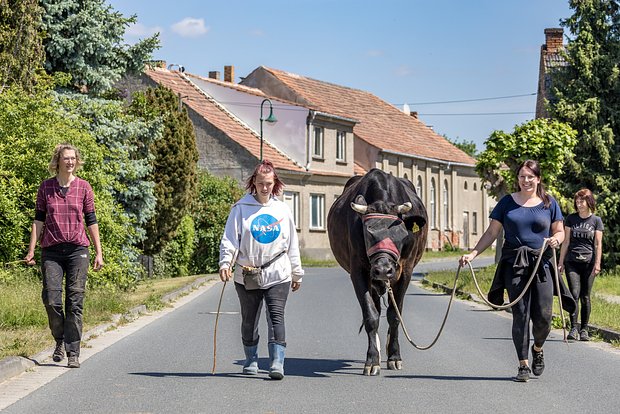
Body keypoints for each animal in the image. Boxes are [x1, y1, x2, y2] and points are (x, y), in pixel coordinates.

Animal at [324, 168, 426, 376]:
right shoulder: (358, 271)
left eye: (401, 234)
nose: (383, 270)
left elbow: (395, 315)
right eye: (368, 233)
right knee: (377, 309)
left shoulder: (406, 271)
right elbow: (371, 315)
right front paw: (372, 360)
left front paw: (394, 356)